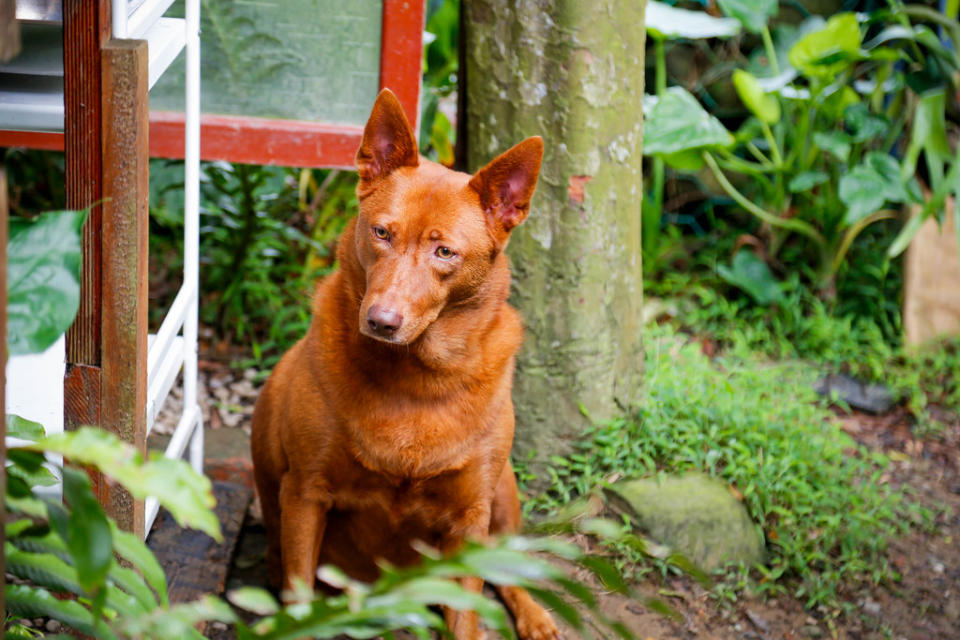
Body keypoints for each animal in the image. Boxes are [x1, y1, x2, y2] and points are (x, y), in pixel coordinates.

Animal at [251, 90, 560, 640]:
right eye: (381, 233)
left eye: (445, 252)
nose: (381, 320)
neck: (416, 377)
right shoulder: (305, 494)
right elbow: (299, 592)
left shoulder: (470, 517)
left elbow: (466, 619)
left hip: (502, 495)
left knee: (510, 574)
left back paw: (536, 616)